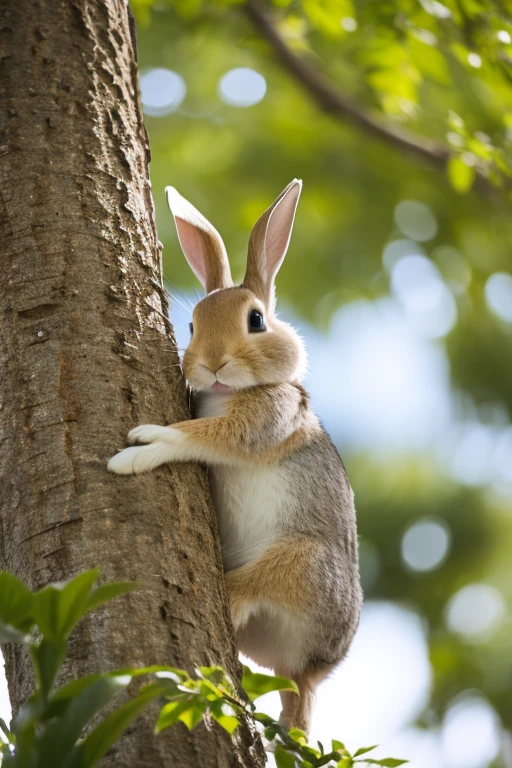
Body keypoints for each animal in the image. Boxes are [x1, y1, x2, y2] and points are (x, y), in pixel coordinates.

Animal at [109, 182, 364, 736]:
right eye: (190, 324)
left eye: (256, 320)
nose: (211, 364)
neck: (228, 392)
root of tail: (310, 672)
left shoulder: (263, 419)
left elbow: (203, 435)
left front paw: (141, 446)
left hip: (299, 562)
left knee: (246, 595)